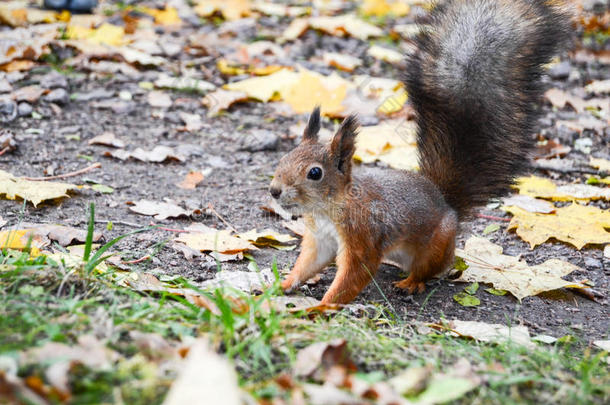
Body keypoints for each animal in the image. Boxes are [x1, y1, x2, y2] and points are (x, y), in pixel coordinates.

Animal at [268, 0, 568, 304]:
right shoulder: (320, 241)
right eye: (284, 158)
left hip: (435, 246)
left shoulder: (364, 235)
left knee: (429, 271)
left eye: (315, 173)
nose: (274, 191)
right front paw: (281, 286)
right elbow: (308, 264)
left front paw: (321, 307)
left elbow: (353, 275)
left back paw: (411, 283)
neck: (327, 209)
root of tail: (446, 204)